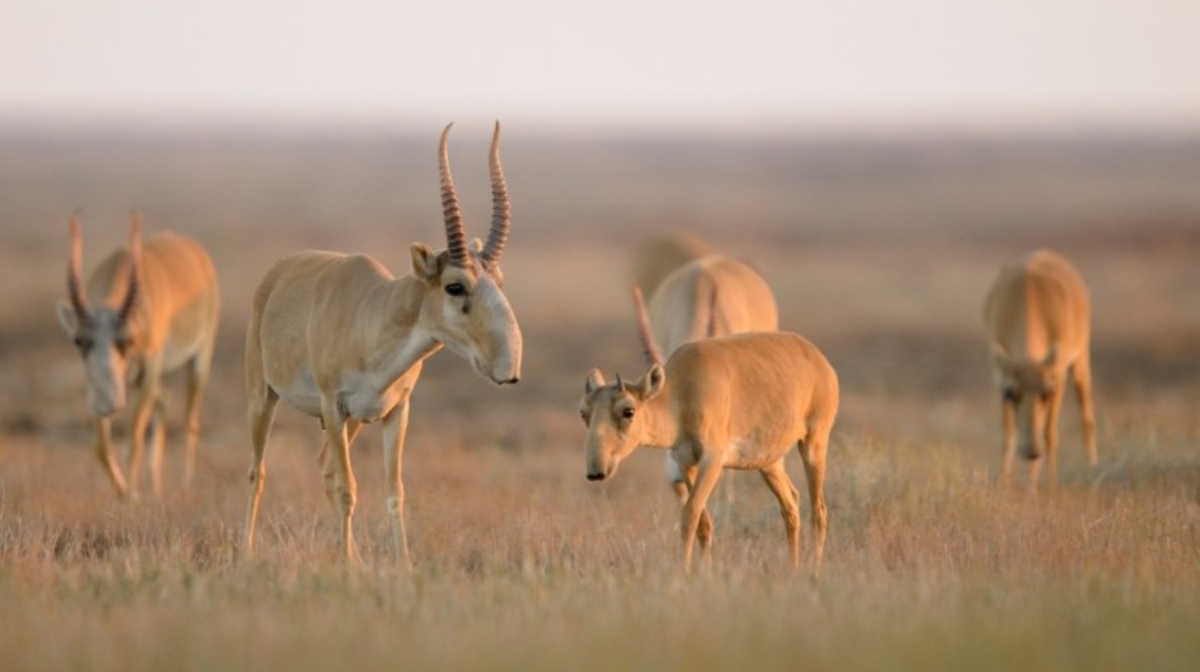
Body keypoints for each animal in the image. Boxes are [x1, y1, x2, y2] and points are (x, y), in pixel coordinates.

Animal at [56, 212, 220, 501]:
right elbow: (101, 445)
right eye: (79, 340)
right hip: (137, 379)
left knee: (190, 421)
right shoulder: (96, 383)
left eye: (128, 340)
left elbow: (134, 436)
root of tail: (196, 253)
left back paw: (185, 484)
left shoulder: (151, 367)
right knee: (164, 402)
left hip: (197, 361)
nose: (109, 403)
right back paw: (155, 486)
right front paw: (123, 493)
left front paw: (132, 495)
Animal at [242, 123, 520, 564]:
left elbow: (394, 493)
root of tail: (278, 272)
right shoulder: (333, 406)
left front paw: (400, 565)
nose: (508, 367)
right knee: (258, 471)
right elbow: (348, 489)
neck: (374, 315)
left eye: (500, 281)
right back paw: (246, 551)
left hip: (353, 422)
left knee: (324, 467)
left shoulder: (396, 412)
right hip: (264, 398)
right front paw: (350, 567)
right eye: (454, 285)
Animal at [984, 246, 1099, 482]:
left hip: (1081, 360)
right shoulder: (999, 376)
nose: (1031, 451)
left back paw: (1092, 466)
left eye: (1048, 391)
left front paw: (1048, 483)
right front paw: (1004, 482)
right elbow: (1008, 435)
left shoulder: (1058, 376)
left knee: (1087, 416)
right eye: (1009, 392)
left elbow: (1049, 432)